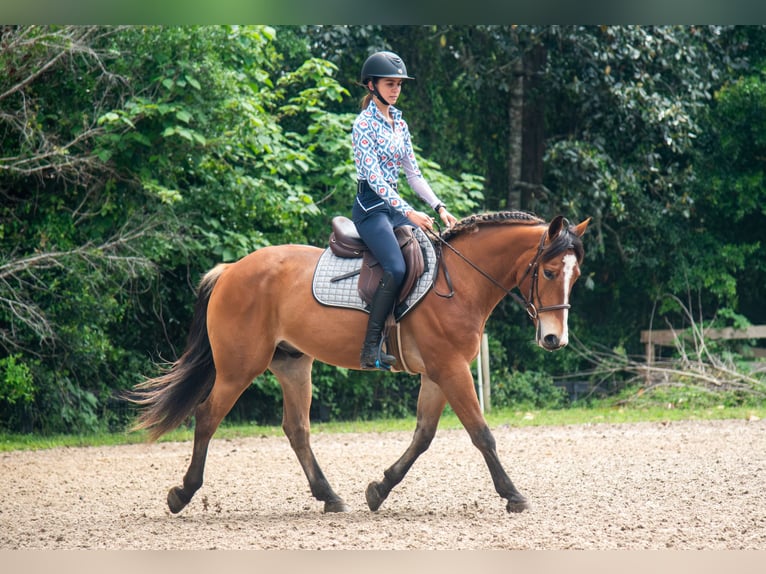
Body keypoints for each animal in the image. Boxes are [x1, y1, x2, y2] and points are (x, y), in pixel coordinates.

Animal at [128, 211, 590, 514]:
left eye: (576, 275)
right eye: (549, 272)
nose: (555, 339)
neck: (460, 281)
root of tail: (232, 270)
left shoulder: (439, 374)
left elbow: (423, 436)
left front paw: (379, 490)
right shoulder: (451, 369)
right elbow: (482, 435)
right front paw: (513, 495)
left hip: (293, 365)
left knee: (296, 429)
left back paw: (329, 497)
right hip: (239, 368)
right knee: (207, 417)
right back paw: (183, 494)